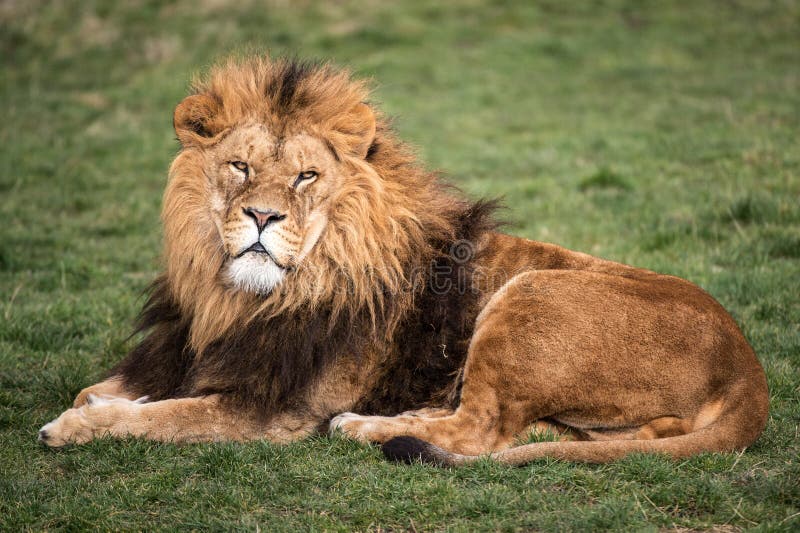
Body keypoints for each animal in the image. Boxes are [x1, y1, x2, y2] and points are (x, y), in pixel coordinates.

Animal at [38, 56, 769, 465]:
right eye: (240, 167)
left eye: (305, 176)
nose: (263, 217)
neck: (240, 298)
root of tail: (748, 367)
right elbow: (108, 390)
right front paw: (100, 399)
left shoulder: (273, 410)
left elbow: (157, 417)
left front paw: (73, 426)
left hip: (531, 290)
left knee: (478, 432)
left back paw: (362, 427)